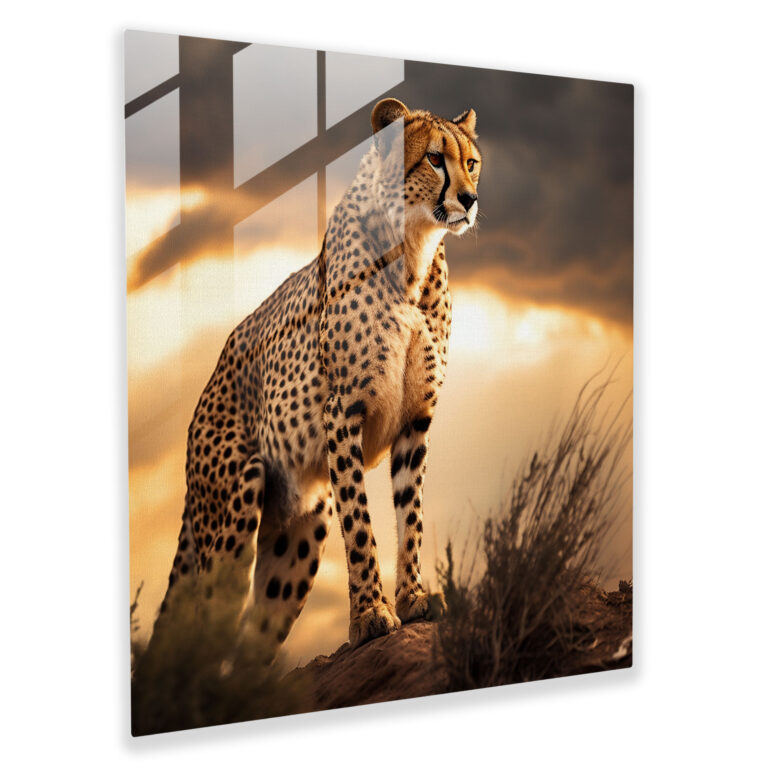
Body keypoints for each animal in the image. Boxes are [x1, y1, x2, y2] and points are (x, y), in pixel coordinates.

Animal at [149, 98, 482, 665]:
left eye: (472, 163)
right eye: (436, 159)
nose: (470, 199)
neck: (412, 250)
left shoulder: (415, 421)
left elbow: (410, 517)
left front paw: (413, 599)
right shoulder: (342, 412)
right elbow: (362, 523)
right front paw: (370, 616)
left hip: (297, 540)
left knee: (251, 644)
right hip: (235, 509)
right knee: (204, 628)